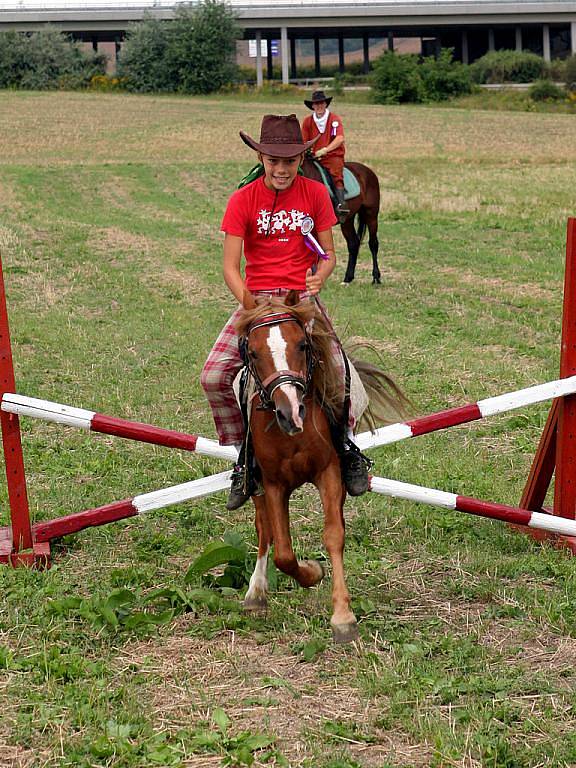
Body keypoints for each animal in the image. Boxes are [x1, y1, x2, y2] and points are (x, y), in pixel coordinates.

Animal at [235, 292, 404, 640]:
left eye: (302, 345)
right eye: (253, 353)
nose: (291, 413)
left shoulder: (329, 474)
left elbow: (334, 534)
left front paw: (342, 615)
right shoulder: (273, 485)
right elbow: (284, 552)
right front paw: (312, 572)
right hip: (255, 486)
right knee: (263, 528)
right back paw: (256, 593)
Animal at [302, 154, 382, 286]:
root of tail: (368, 171)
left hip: (371, 215)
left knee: (373, 244)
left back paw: (376, 277)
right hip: (347, 220)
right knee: (353, 244)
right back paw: (347, 278)